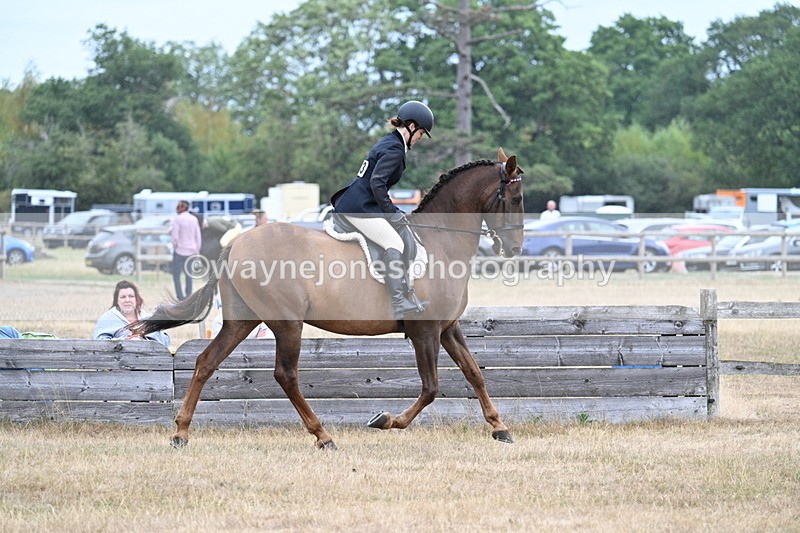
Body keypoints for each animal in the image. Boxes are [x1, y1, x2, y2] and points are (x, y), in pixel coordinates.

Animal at [133, 147, 525, 450]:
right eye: (517, 199)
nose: (515, 249)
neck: (442, 240)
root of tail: (234, 245)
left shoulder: (447, 327)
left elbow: (474, 373)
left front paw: (499, 427)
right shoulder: (424, 331)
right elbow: (431, 388)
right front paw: (385, 420)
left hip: (242, 319)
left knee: (206, 362)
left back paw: (182, 432)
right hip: (286, 323)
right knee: (285, 375)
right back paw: (323, 436)